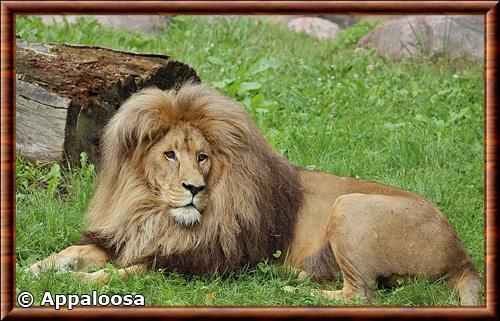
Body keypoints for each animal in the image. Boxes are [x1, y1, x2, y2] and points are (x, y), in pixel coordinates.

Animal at [26, 82, 480, 304]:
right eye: (170, 155)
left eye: (203, 157)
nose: (194, 189)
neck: (151, 211)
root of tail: (463, 256)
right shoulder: (128, 239)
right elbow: (74, 251)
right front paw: (37, 268)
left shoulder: (196, 264)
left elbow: (123, 274)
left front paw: (81, 281)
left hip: (349, 205)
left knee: (361, 296)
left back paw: (293, 292)